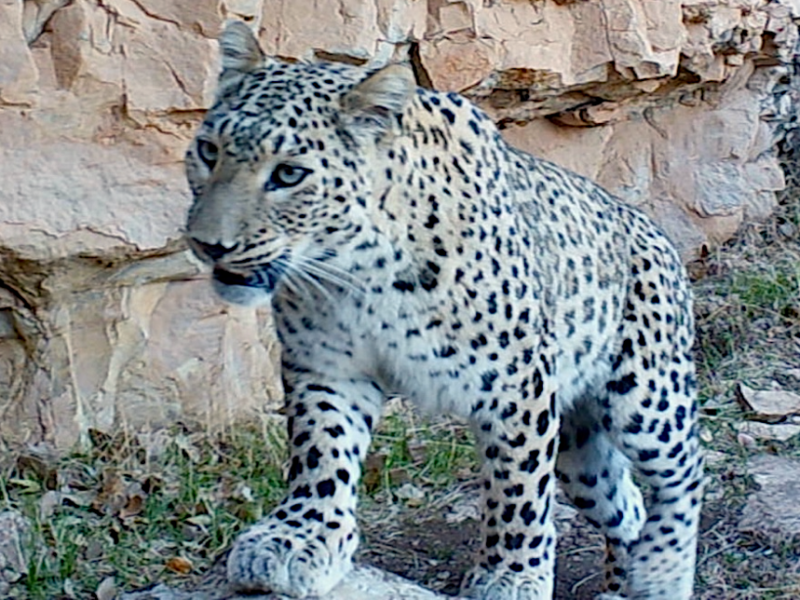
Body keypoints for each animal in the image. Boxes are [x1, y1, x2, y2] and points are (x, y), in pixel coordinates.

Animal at [184, 19, 704, 600]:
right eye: (208, 150)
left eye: (289, 174)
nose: (209, 245)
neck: (360, 275)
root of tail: (648, 226)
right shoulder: (327, 367)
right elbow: (322, 452)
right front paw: (301, 537)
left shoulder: (517, 382)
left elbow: (517, 484)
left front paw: (510, 574)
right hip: (579, 446)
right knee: (625, 501)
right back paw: (622, 584)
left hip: (647, 395)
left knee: (684, 472)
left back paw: (662, 570)